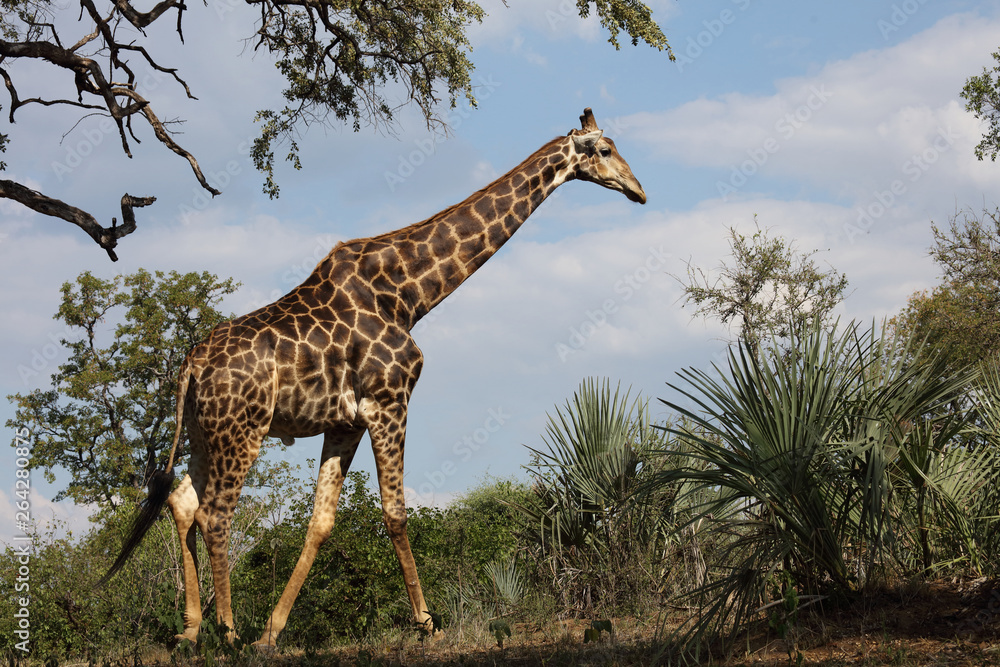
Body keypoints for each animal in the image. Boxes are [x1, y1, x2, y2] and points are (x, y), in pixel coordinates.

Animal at [103, 108, 646, 648]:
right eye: (604, 150)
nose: (639, 190)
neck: (409, 294)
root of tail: (191, 365)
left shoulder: (344, 422)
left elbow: (321, 522)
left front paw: (273, 632)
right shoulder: (390, 401)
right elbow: (396, 513)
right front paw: (426, 621)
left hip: (203, 432)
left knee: (182, 501)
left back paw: (191, 631)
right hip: (243, 431)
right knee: (215, 513)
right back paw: (227, 632)